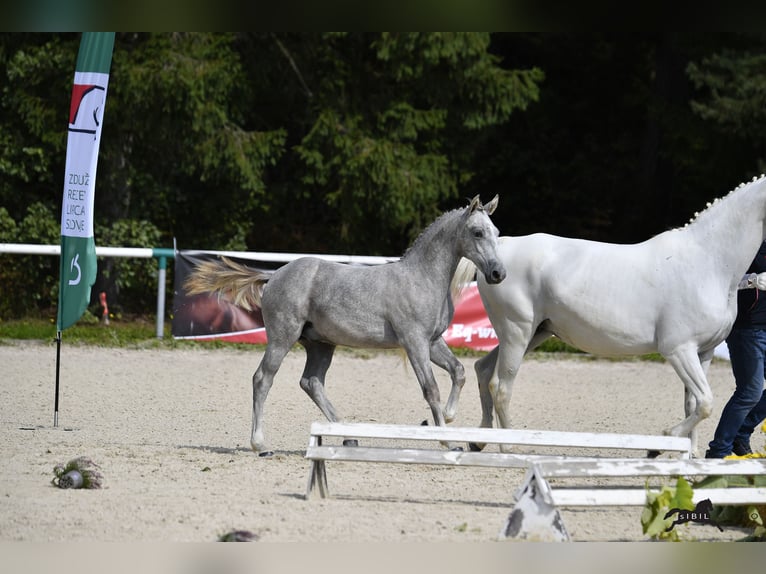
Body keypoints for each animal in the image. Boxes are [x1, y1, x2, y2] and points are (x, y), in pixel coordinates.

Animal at [464, 173, 766, 456]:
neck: (707, 263)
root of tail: (498, 255)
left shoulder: (703, 352)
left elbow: (693, 403)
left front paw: (689, 456)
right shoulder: (678, 350)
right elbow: (705, 404)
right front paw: (659, 445)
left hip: (533, 334)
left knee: (483, 370)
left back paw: (478, 441)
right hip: (517, 333)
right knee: (501, 386)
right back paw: (507, 447)